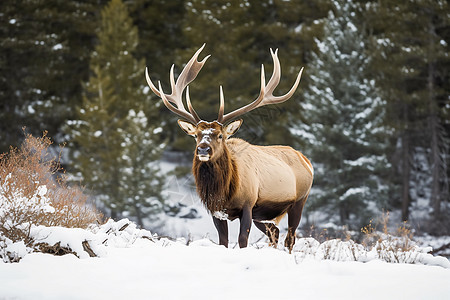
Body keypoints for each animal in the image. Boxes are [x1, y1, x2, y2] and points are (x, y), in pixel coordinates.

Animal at [145, 44, 312, 251]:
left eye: (220, 135)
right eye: (196, 135)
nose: (203, 149)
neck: (223, 194)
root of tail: (306, 160)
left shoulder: (248, 204)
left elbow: (242, 240)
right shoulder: (217, 213)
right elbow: (223, 242)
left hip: (299, 200)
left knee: (290, 237)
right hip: (265, 215)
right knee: (275, 233)